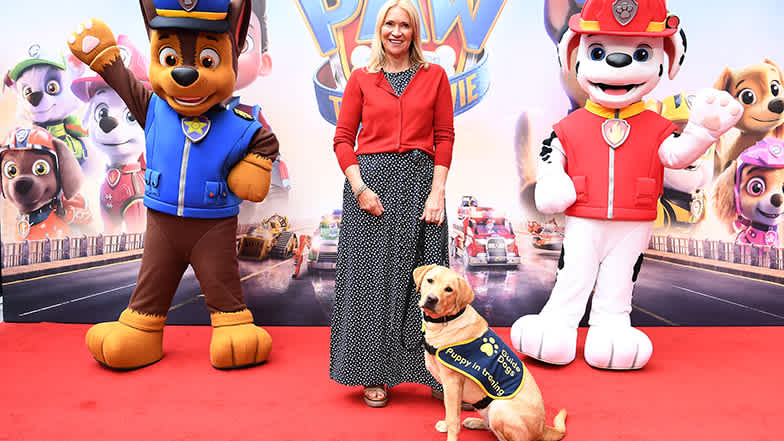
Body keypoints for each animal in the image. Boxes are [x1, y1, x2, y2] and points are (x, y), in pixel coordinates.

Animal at [414, 264, 568, 440]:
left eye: (449, 289)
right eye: (430, 280)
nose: (432, 299)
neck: (446, 321)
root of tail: (543, 429)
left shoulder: (452, 383)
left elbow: (453, 417)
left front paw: (451, 434)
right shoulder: (453, 390)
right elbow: (452, 413)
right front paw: (446, 426)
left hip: (499, 407)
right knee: (490, 427)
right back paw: (474, 422)